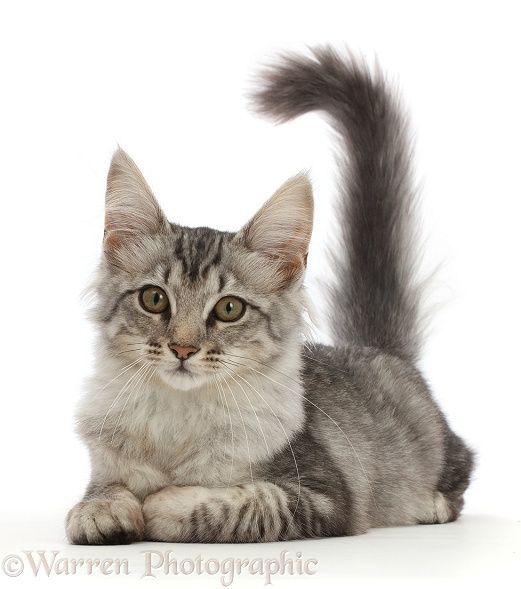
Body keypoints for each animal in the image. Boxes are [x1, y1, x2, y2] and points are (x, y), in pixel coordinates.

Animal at [65, 46, 472, 544]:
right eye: (154, 299)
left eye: (229, 309)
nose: (182, 348)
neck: (179, 421)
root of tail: (375, 350)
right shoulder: (104, 463)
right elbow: (102, 490)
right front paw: (101, 511)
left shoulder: (324, 497)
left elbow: (236, 502)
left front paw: (164, 503)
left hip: (437, 455)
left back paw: (429, 505)